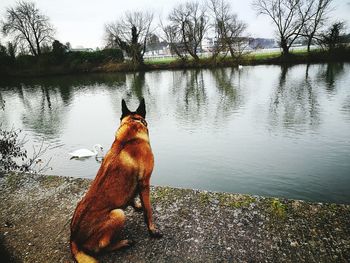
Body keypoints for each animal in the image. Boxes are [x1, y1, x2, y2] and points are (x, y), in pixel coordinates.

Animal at [70, 99, 163, 263]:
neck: (131, 129)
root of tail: (74, 239)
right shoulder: (145, 182)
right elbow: (149, 210)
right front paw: (152, 230)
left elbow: (133, 197)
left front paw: (136, 205)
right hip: (118, 214)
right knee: (102, 247)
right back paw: (123, 242)